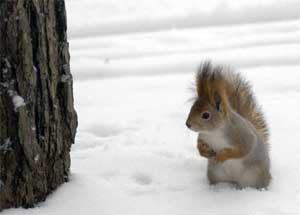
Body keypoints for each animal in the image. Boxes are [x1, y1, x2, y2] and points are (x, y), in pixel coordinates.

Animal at [186, 61, 270, 189]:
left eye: (206, 115)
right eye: (191, 108)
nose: (188, 124)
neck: (214, 132)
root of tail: (234, 181)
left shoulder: (241, 135)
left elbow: (244, 149)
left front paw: (222, 156)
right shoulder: (203, 136)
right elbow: (199, 145)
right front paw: (203, 151)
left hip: (255, 174)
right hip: (215, 173)